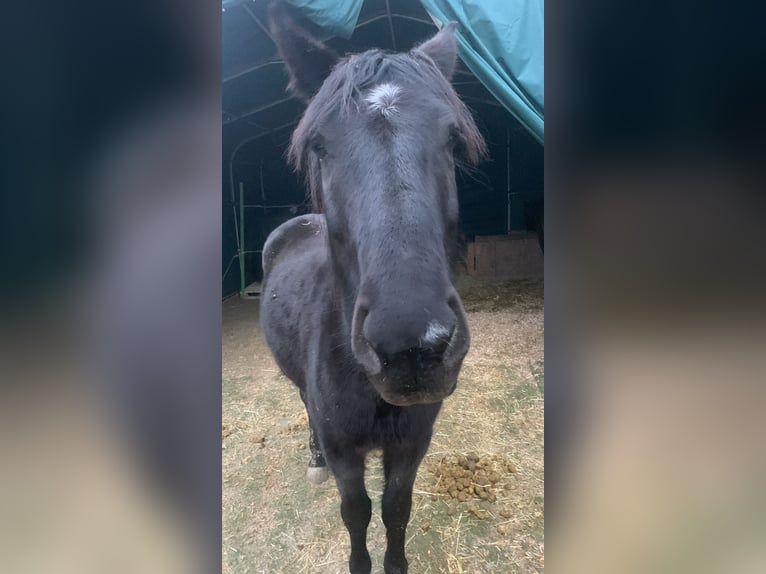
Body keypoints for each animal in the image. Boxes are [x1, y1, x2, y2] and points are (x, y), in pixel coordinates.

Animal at [262, 5, 486, 574]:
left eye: (452, 139)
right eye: (319, 145)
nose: (411, 345)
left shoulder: (411, 444)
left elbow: (395, 508)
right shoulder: (348, 452)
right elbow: (356, 511)